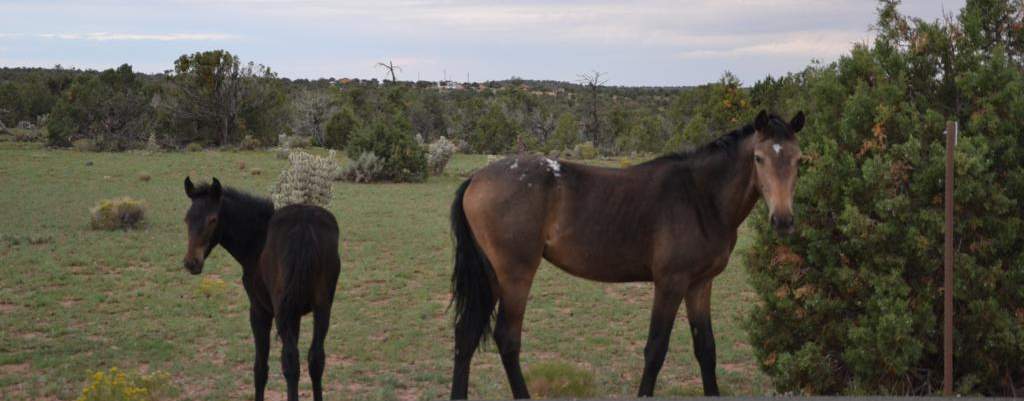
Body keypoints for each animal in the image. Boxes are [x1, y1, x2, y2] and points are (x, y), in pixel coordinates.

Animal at [182, 179, 342, 401]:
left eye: (212, 219)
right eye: (187, 219)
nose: (192, 262)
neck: (257, 240)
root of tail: (305, 226)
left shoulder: (260, 309)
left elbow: (260, 368)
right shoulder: (294, 314)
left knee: (291, 362)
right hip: (322, 306)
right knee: (315, 359)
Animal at [452, 109, 802, 396]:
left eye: (799, 159)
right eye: (758, 158)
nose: (783, 220)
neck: (700, 197)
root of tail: (476, 179)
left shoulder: (700, 284)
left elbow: (706, 348)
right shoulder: (670, 283)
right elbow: (656, 349)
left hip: (492, 277)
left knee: (466, 336)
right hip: (515, 276)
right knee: (507, 340)